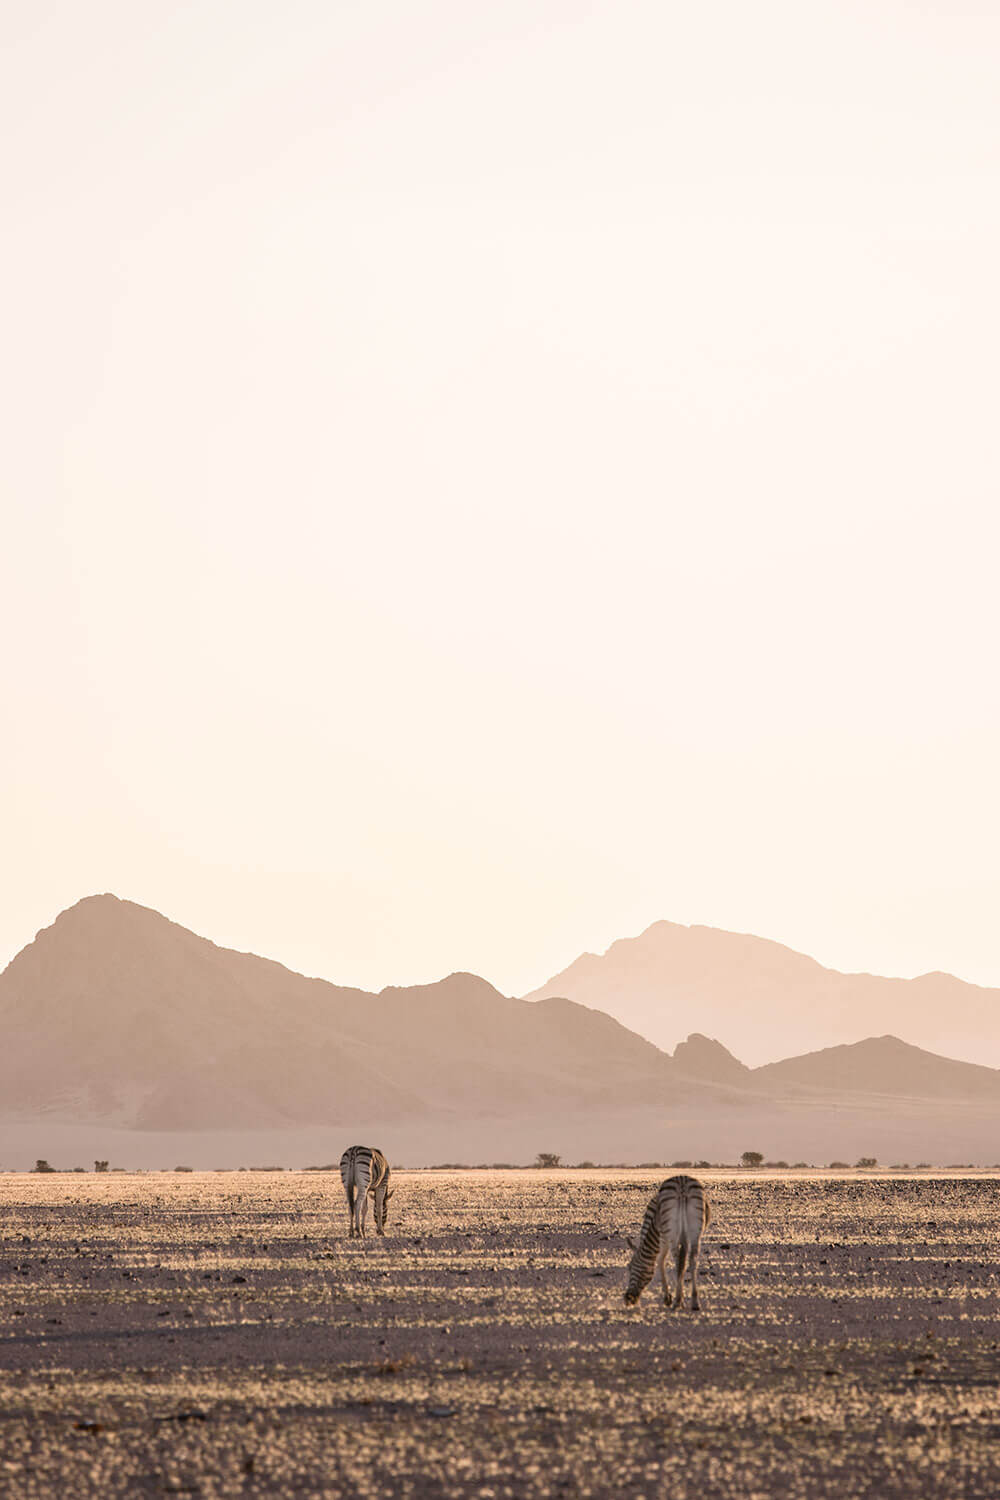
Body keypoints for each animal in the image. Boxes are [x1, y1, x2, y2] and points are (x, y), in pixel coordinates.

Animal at [626, 1176, 710, 1308]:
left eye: (630, 1267)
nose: (628, 1299)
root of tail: (682, 1183)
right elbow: (682, 1261)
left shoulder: (662, 1238)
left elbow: (660, 1261)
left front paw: (668, 1298)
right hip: (695, 1231)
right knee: (692, 1260)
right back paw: (695, 1301)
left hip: (671, 1233)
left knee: (677, 1261)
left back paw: (678, 1301)